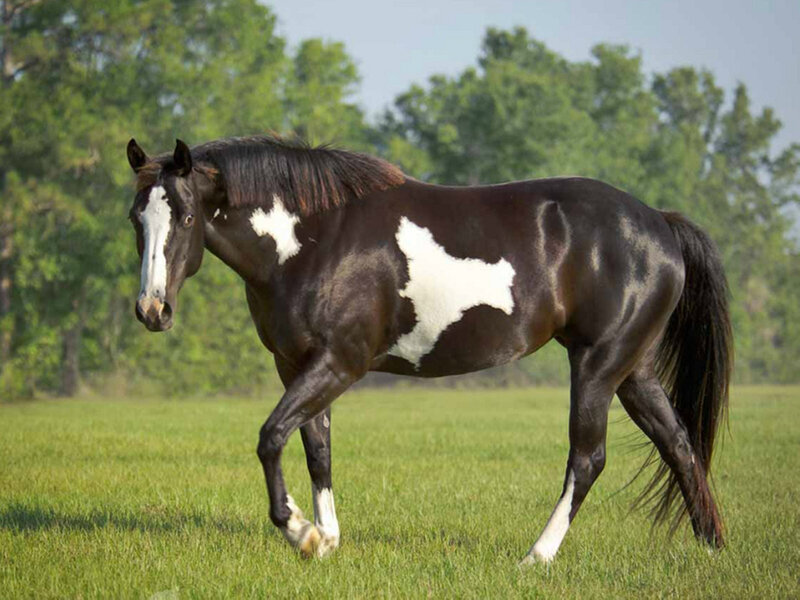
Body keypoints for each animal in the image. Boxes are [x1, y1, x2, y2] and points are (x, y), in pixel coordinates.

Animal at [125, 135, 731, 563]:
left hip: (597, 366)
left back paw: (536, 557)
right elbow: (317, 449)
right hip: (633, 371)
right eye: (137, 219)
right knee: (679, 445)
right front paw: (328, 538)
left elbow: (271, 437)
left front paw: (300, 532)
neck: (314, 240)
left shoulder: (339, 363)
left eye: (185, 216)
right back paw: (712, 547)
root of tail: (659, 223)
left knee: (588, 460)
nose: (153, 310)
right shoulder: (295, 365)